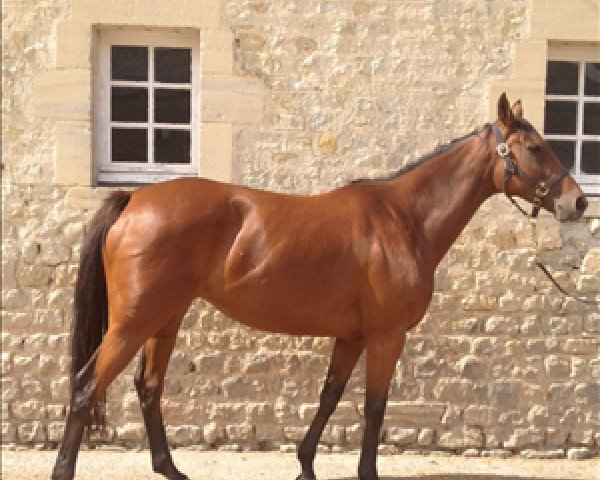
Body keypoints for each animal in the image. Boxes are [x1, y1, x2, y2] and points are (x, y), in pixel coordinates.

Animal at [51, 94, 584, 480]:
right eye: (535, 148)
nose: (577, 202)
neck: (403, 218)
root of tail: (135, 198)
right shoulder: (387, 336)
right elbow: (374, 407)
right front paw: (366, 473)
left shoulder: (351, 336)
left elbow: (330, 396)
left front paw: (305, 465)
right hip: (133, 322)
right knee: (87, 387)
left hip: (165, 318)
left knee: (148, 386)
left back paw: (171, 469)